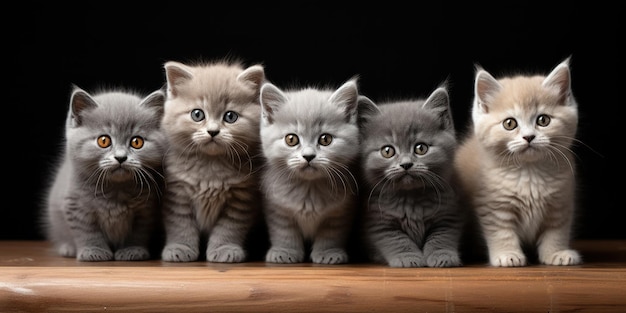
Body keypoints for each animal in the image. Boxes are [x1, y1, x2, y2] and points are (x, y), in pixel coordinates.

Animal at [42, 85, 167, 260]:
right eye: (104, 140)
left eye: (137, 142)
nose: (121, 157)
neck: (116, 190)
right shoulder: (75, 206)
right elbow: (87, 231)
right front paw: (94, 251)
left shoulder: (146, 210)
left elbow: (138, 232)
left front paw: (132, 250)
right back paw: (67, 248)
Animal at [160, 59, 264, 262]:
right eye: (197, 114)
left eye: (230, 116)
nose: (213, 131)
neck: (211, 166)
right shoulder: (177, 195)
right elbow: (180, 225)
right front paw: (180, 248)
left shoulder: (241, 199)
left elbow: (229, 228)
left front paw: (225, 249)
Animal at [256, 78, 372, 264]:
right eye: (291, 139)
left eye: (325, 139)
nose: (308, 156)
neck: (309, 190)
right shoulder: (277, 208)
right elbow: (284, 231)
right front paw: (284, 252)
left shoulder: (340, 212)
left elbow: (331, 234)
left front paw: (328, 253)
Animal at [356, 84, 464, 266]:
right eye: (387, 151)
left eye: (421, 148)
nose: (406, 164)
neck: (410, 198)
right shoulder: (378, 222)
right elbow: (396, 240)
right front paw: (407, 258)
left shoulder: (449, 214)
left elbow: (442, 236)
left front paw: (442, 255)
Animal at [454, 58, 580, 266]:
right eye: (509, 123)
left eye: (543, 120)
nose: (528, 137)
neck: (529, 172)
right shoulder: (494, 207)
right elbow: (501, 233)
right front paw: (507, 255)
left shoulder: (560, 204)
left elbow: (556, 232)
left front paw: (556, 253)